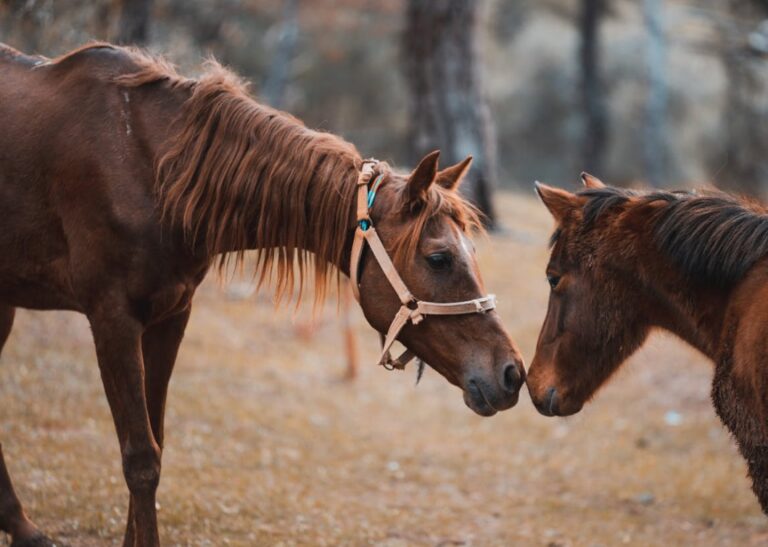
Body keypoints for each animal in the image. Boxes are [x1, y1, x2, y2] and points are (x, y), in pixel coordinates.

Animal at [0, 44, 524, 547]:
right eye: (439, 258)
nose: (512, 373)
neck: (149, 167)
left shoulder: (170, 316)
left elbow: (156, 441)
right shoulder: (112, 319)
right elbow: (140, 458)